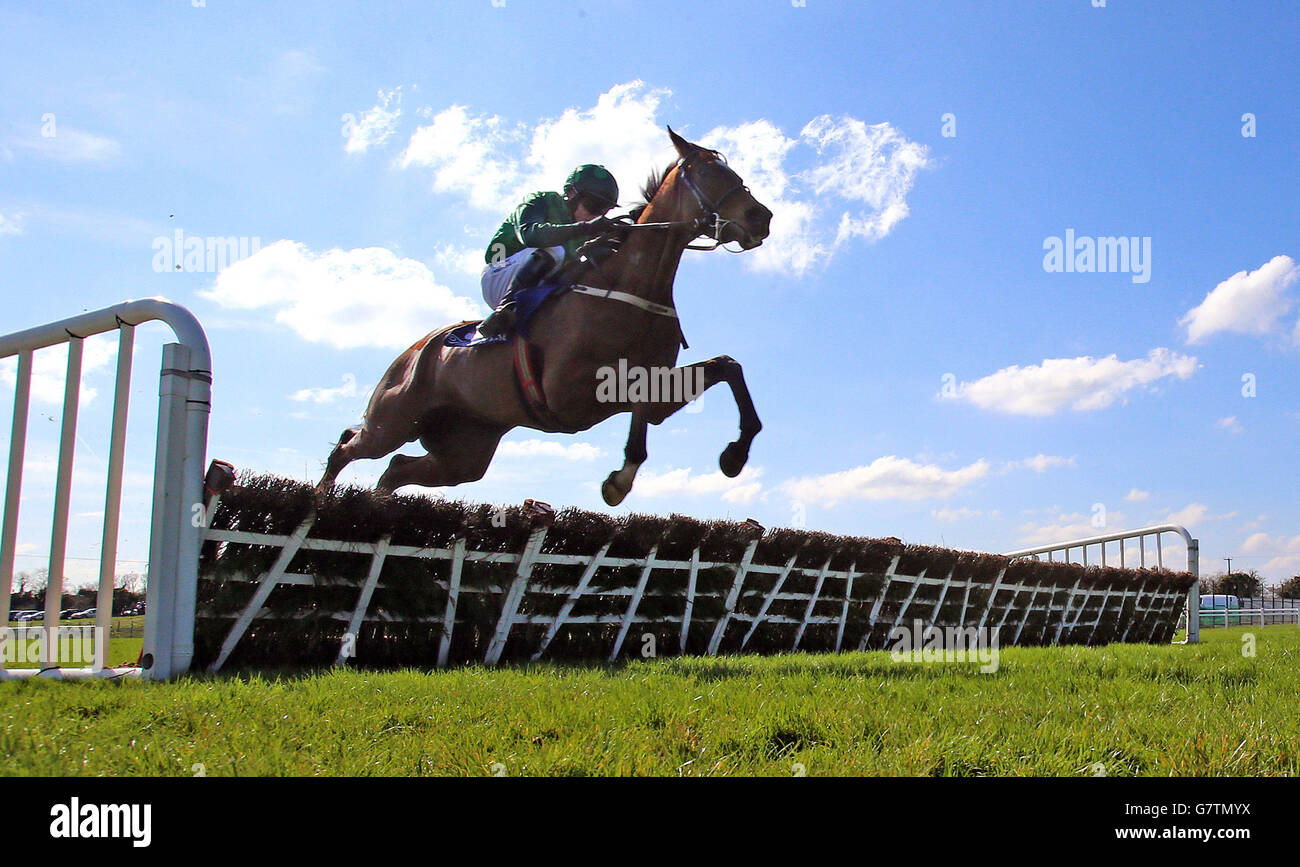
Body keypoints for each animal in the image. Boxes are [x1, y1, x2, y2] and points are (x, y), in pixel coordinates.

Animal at [317, 128, 769, 509]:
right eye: (709, 172)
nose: (760, 217)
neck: (633, 287)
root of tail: (414, 350)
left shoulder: (655, 387)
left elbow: (727, 367)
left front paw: (734, 456)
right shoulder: (567, 394)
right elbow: (637, 395)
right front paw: (618, 481)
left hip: (463, 451)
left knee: (395, 470)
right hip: (391, 421)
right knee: (348, 445)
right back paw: (321, 497)